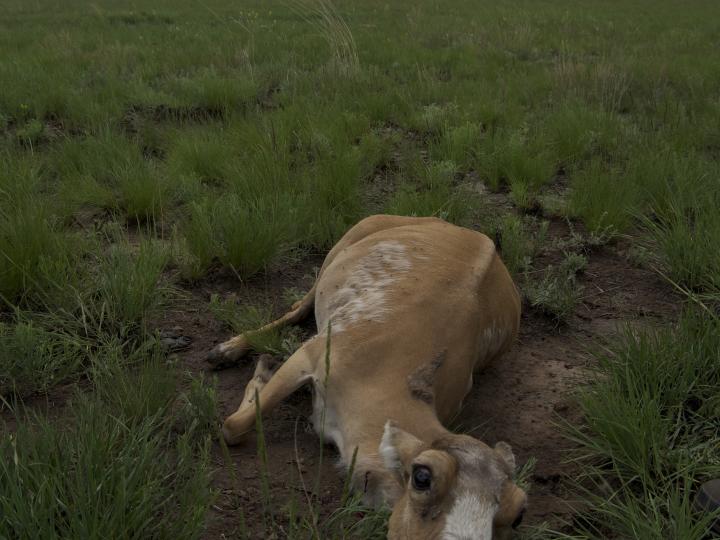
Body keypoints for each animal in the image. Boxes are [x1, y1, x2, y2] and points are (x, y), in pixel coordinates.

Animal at [208, 214, 528, 536]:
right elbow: (233, 426)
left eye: (518, 512)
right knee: (300, 305)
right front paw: (261, 371)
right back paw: (225, 350)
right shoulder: (311, 353)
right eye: (422, 477)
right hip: (347, 240)